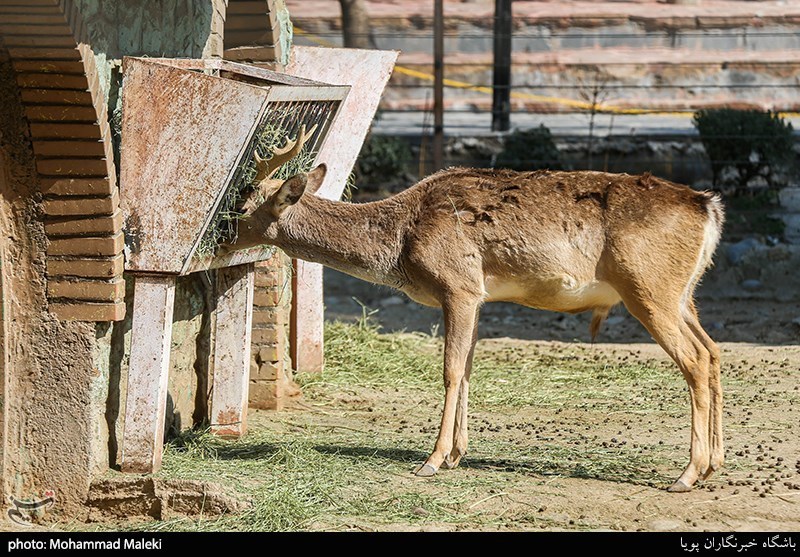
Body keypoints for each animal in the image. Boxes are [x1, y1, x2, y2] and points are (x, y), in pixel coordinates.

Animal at [223, 129, 724, 490]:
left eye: (242, 207)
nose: (219, 235)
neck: (400, 244)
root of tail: (710, 208)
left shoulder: (458, 285)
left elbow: (449, 369)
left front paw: (431, 460)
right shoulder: (479, 295)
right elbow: (466, 369)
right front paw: (458, 454)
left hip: (648, 288)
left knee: (695, 360)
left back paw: (686, 474)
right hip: (683, 294)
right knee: (714, 351)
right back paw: (715, 463)